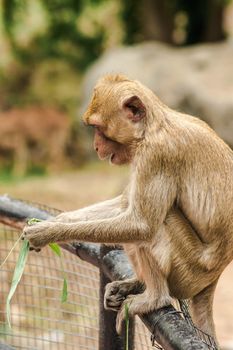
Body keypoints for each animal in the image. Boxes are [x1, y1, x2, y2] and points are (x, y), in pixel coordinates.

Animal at [23, 74, 233, 342]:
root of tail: (212, 280)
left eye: (98, 128)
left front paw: (45, 233)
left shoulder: (156, 156)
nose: (96, 147)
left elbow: (141, 225)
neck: (153, 126)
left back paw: (154, 298)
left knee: (156, 226)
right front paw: (53, 222)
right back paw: (136, 284)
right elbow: (124, 205)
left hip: (189, 272)